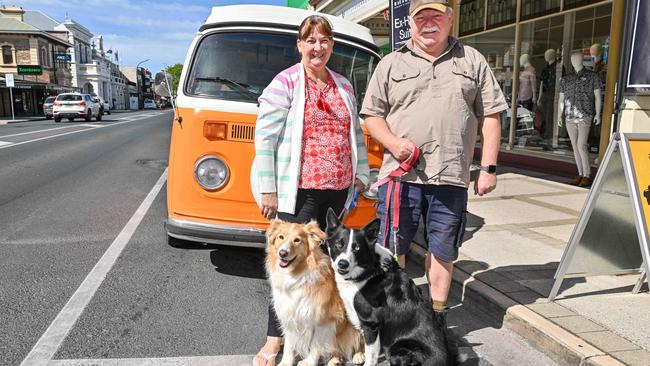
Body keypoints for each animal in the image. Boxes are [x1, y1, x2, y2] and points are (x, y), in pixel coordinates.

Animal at [264, 220, 364, 366]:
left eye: (297, 240)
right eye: (280, 237)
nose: (282, 253)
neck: (296, 277)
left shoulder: (323, 320)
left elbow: (316, 345)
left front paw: (309, 362)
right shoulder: (289, 315)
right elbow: (289, 344)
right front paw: (286, 362)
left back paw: (359, 355)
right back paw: (335, 359)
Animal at [324, 209, 456, 366]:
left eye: (357, 248)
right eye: (339, 244)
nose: (342, 264)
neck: (369, 269)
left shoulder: (371, 324)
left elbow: (371, 355)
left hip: (398, 348)